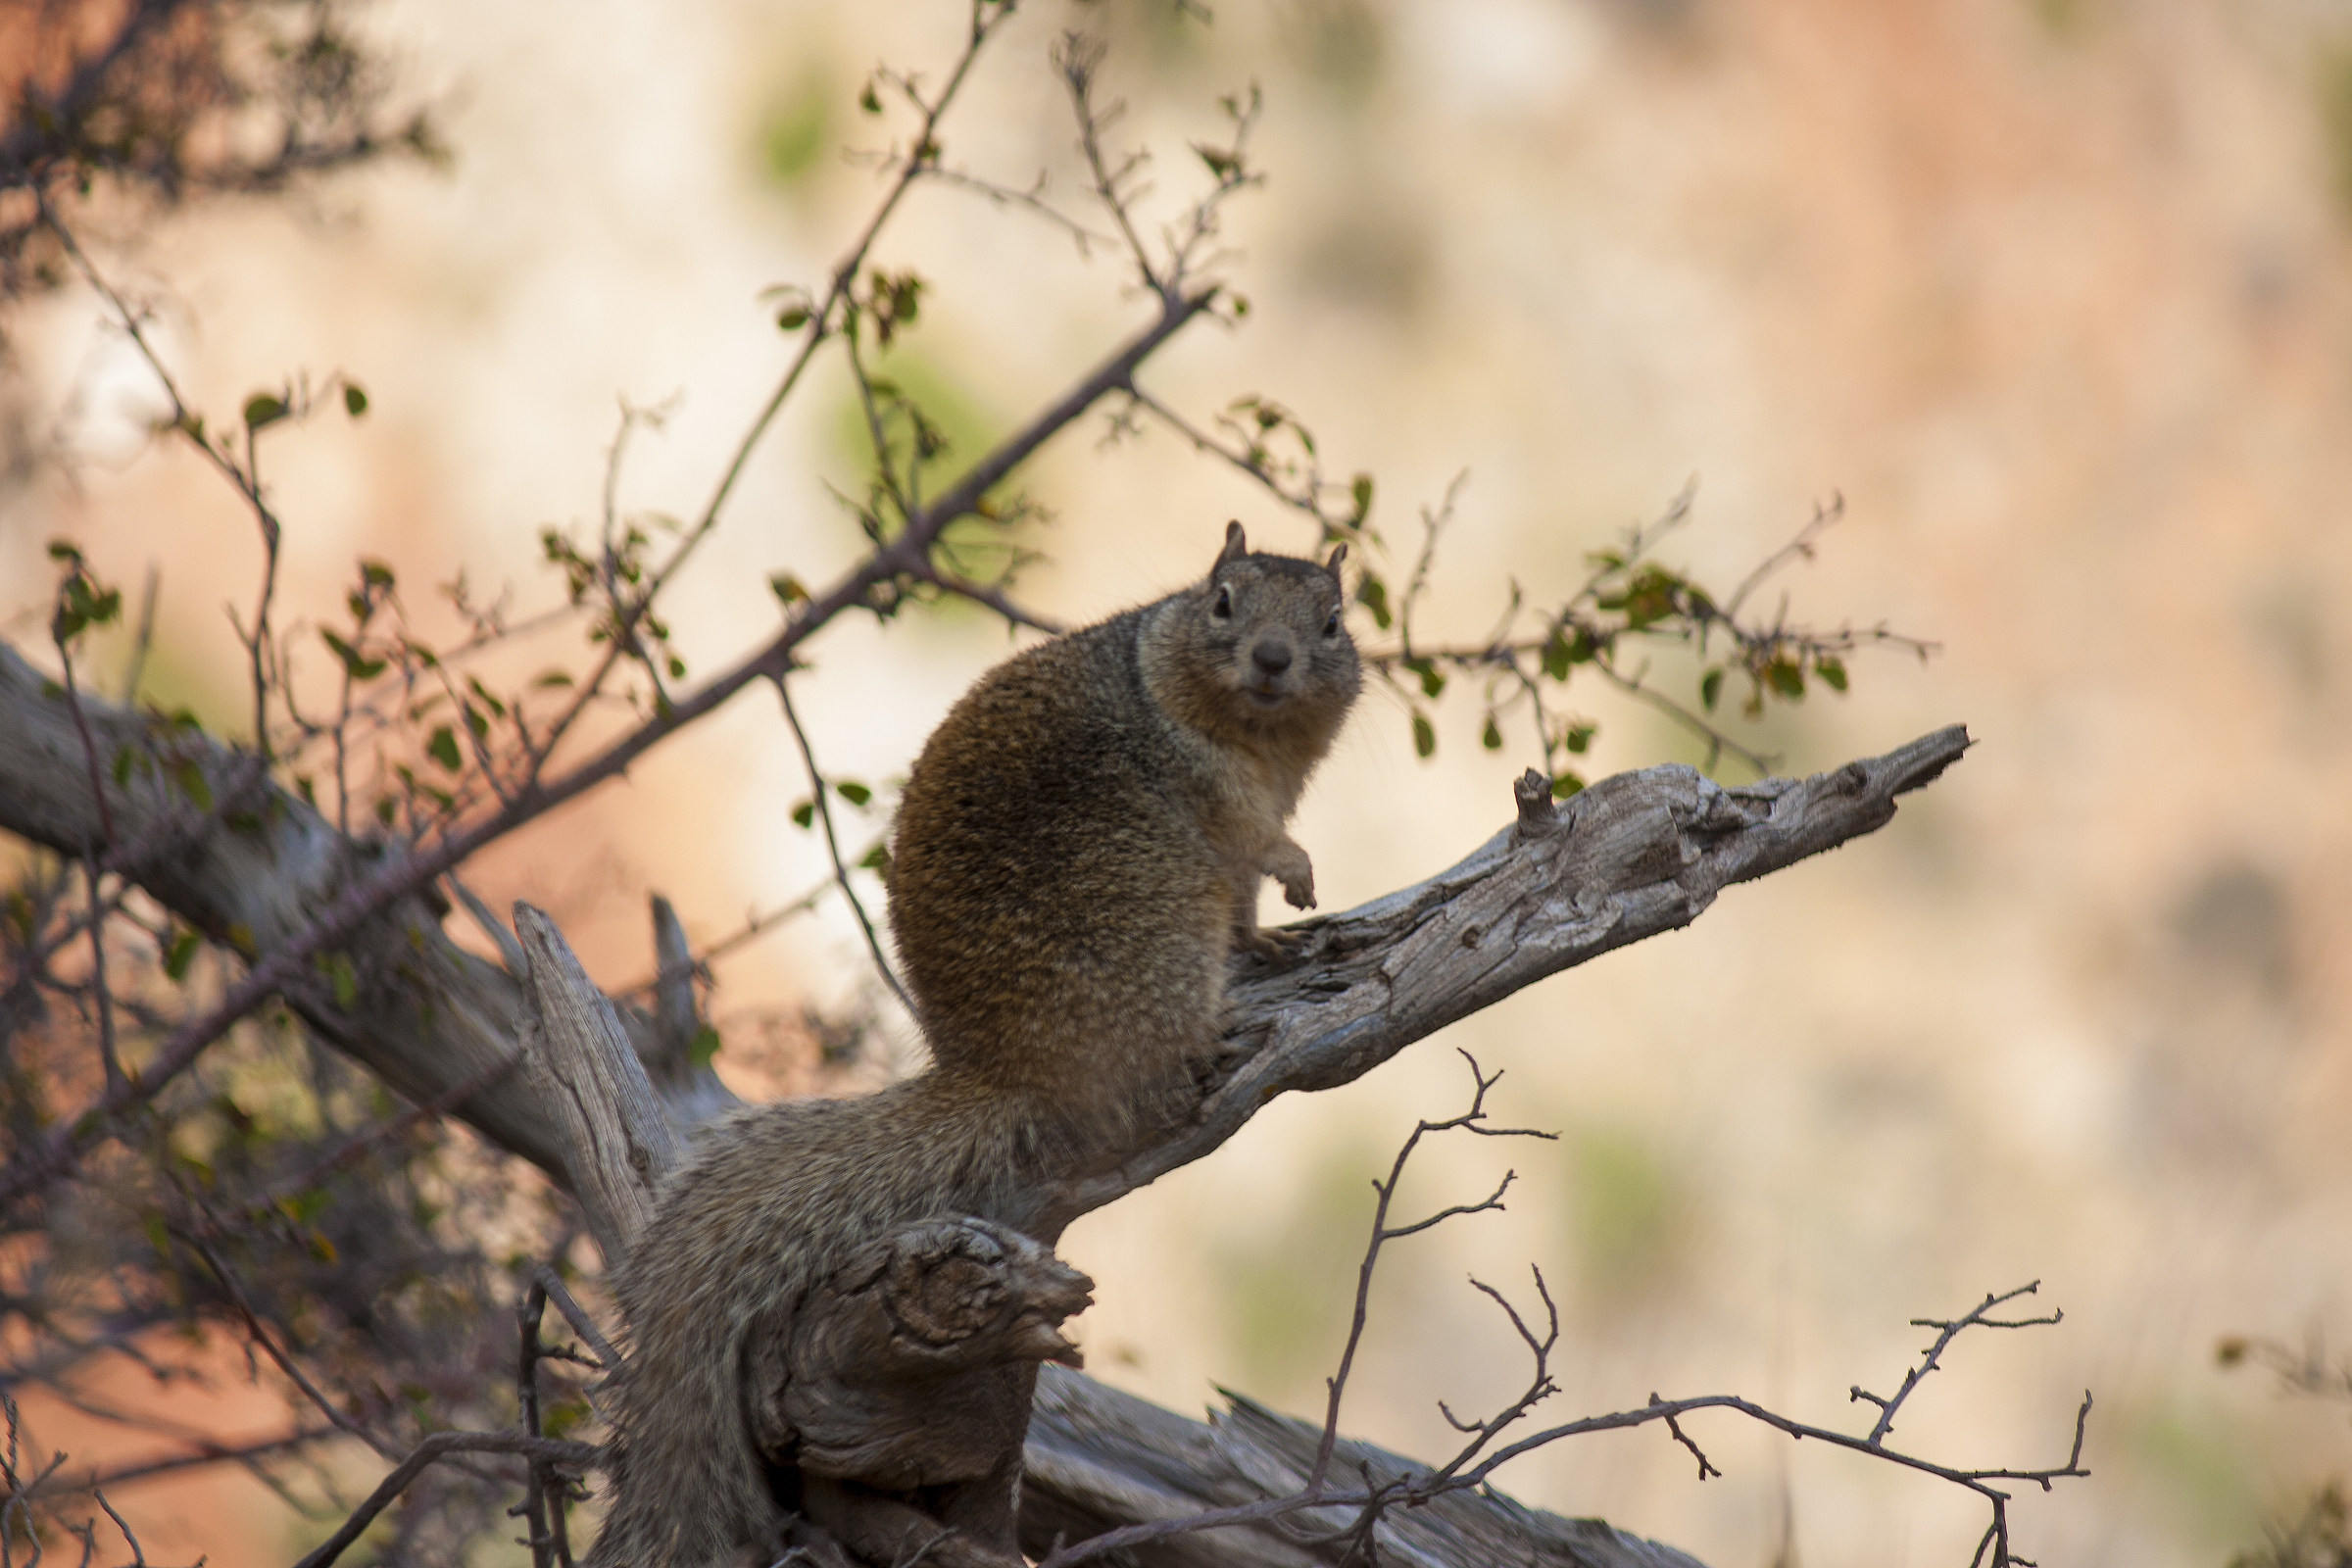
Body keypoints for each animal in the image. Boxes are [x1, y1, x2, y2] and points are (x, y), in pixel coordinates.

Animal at [589, 523, 1360, 1567]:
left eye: (1333, 620)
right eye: (1222, 600)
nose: (1274, 659)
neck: (1247, 729)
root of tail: (999, 1070)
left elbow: (1247, 898)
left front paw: (1276, 933)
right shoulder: (1215, 791)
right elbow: (1252, 838)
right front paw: (1295, 874)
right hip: (1154, 917)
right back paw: (1213, 1034)